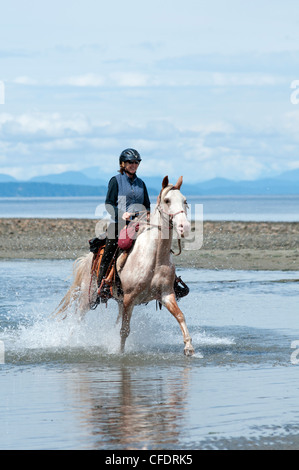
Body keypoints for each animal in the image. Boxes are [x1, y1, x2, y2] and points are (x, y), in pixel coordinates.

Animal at [54, 176, 196, 356]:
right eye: (167, 200)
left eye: (185, 201)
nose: (184, 226)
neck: (154, 258)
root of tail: (87, 260)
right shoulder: (129, 298)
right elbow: (124, 330)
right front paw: (120, 353)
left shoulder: (166, 294)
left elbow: (180, 316)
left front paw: (189, 347)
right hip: (88, 298)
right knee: (78, 319)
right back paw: (71, 341)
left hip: (119, 302)